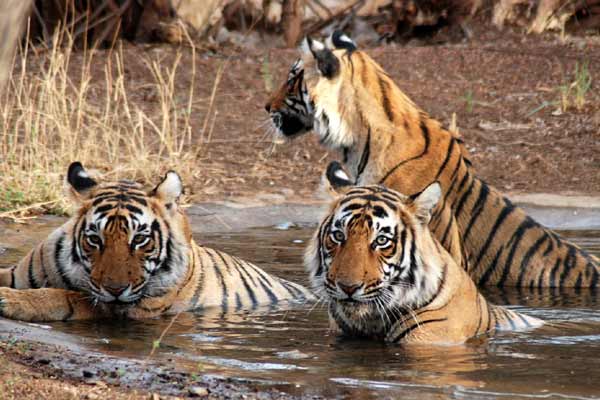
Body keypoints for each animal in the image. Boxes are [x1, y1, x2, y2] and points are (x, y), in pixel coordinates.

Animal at [0, 162, 316, 322]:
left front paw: (10, 299)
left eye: (140, 239)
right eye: (95, 239)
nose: (115, 289)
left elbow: (66, 296)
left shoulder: (126, 307)